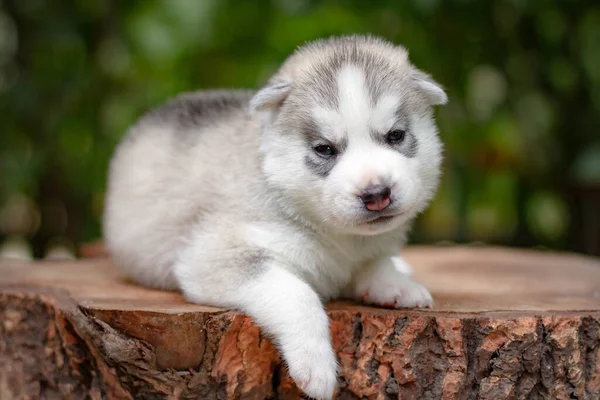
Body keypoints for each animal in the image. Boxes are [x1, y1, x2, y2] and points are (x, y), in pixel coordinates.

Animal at [103, 36, 446, 398]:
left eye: (396, 135)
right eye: (324, 149)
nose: (377, 194)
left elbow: (375, 263)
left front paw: (397, 284)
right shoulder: (217, 257)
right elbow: (298, 295)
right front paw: (316, 366)